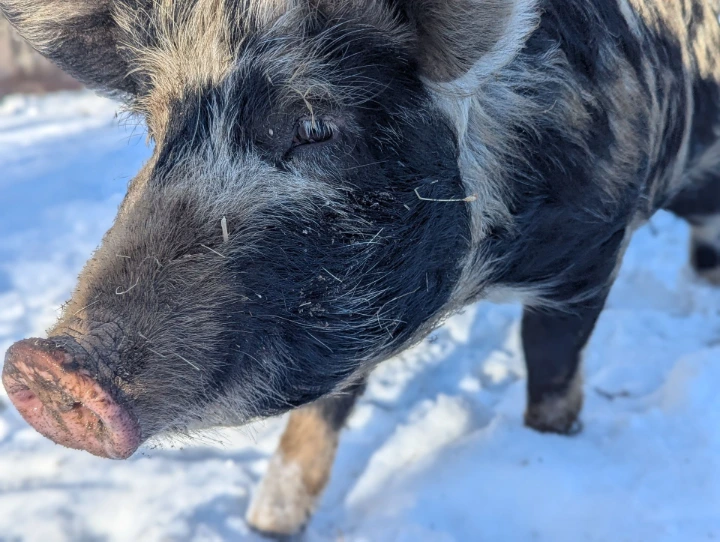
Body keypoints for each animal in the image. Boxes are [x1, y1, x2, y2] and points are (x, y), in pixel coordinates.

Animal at [2, 0, 720, 536]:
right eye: (156, 128)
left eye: (317, 127)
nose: (47, 364)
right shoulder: (336, 320)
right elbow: (316, 420)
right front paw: (268, 526)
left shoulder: (591, 253)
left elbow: (549, 369)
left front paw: (551, 446)